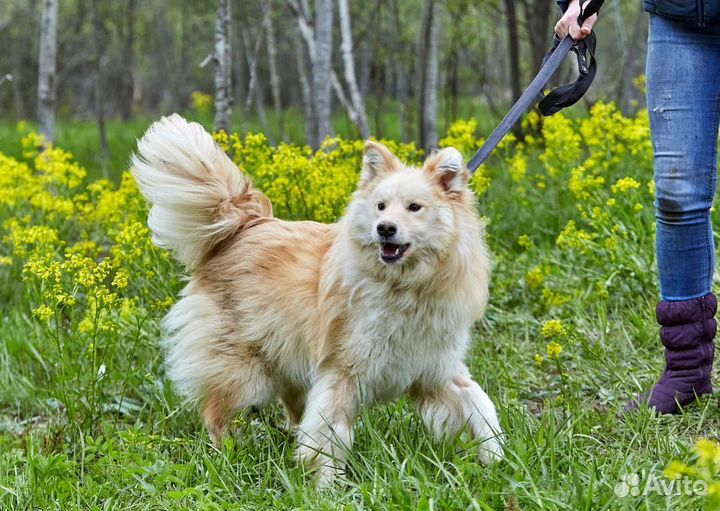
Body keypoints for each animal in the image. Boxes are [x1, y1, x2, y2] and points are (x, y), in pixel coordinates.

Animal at [131, 114, 500, 486]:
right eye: (380, 206)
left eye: (414, 208)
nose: (384, 227)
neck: (406, 287)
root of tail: (242, 225)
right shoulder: (343, 373)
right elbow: (330, 436)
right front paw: (328, 487)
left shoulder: (435, 370)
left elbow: (480, 404)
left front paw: (495, 457)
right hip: (245, 373)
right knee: (217, 415)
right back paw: (228, 459)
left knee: (291, 411)